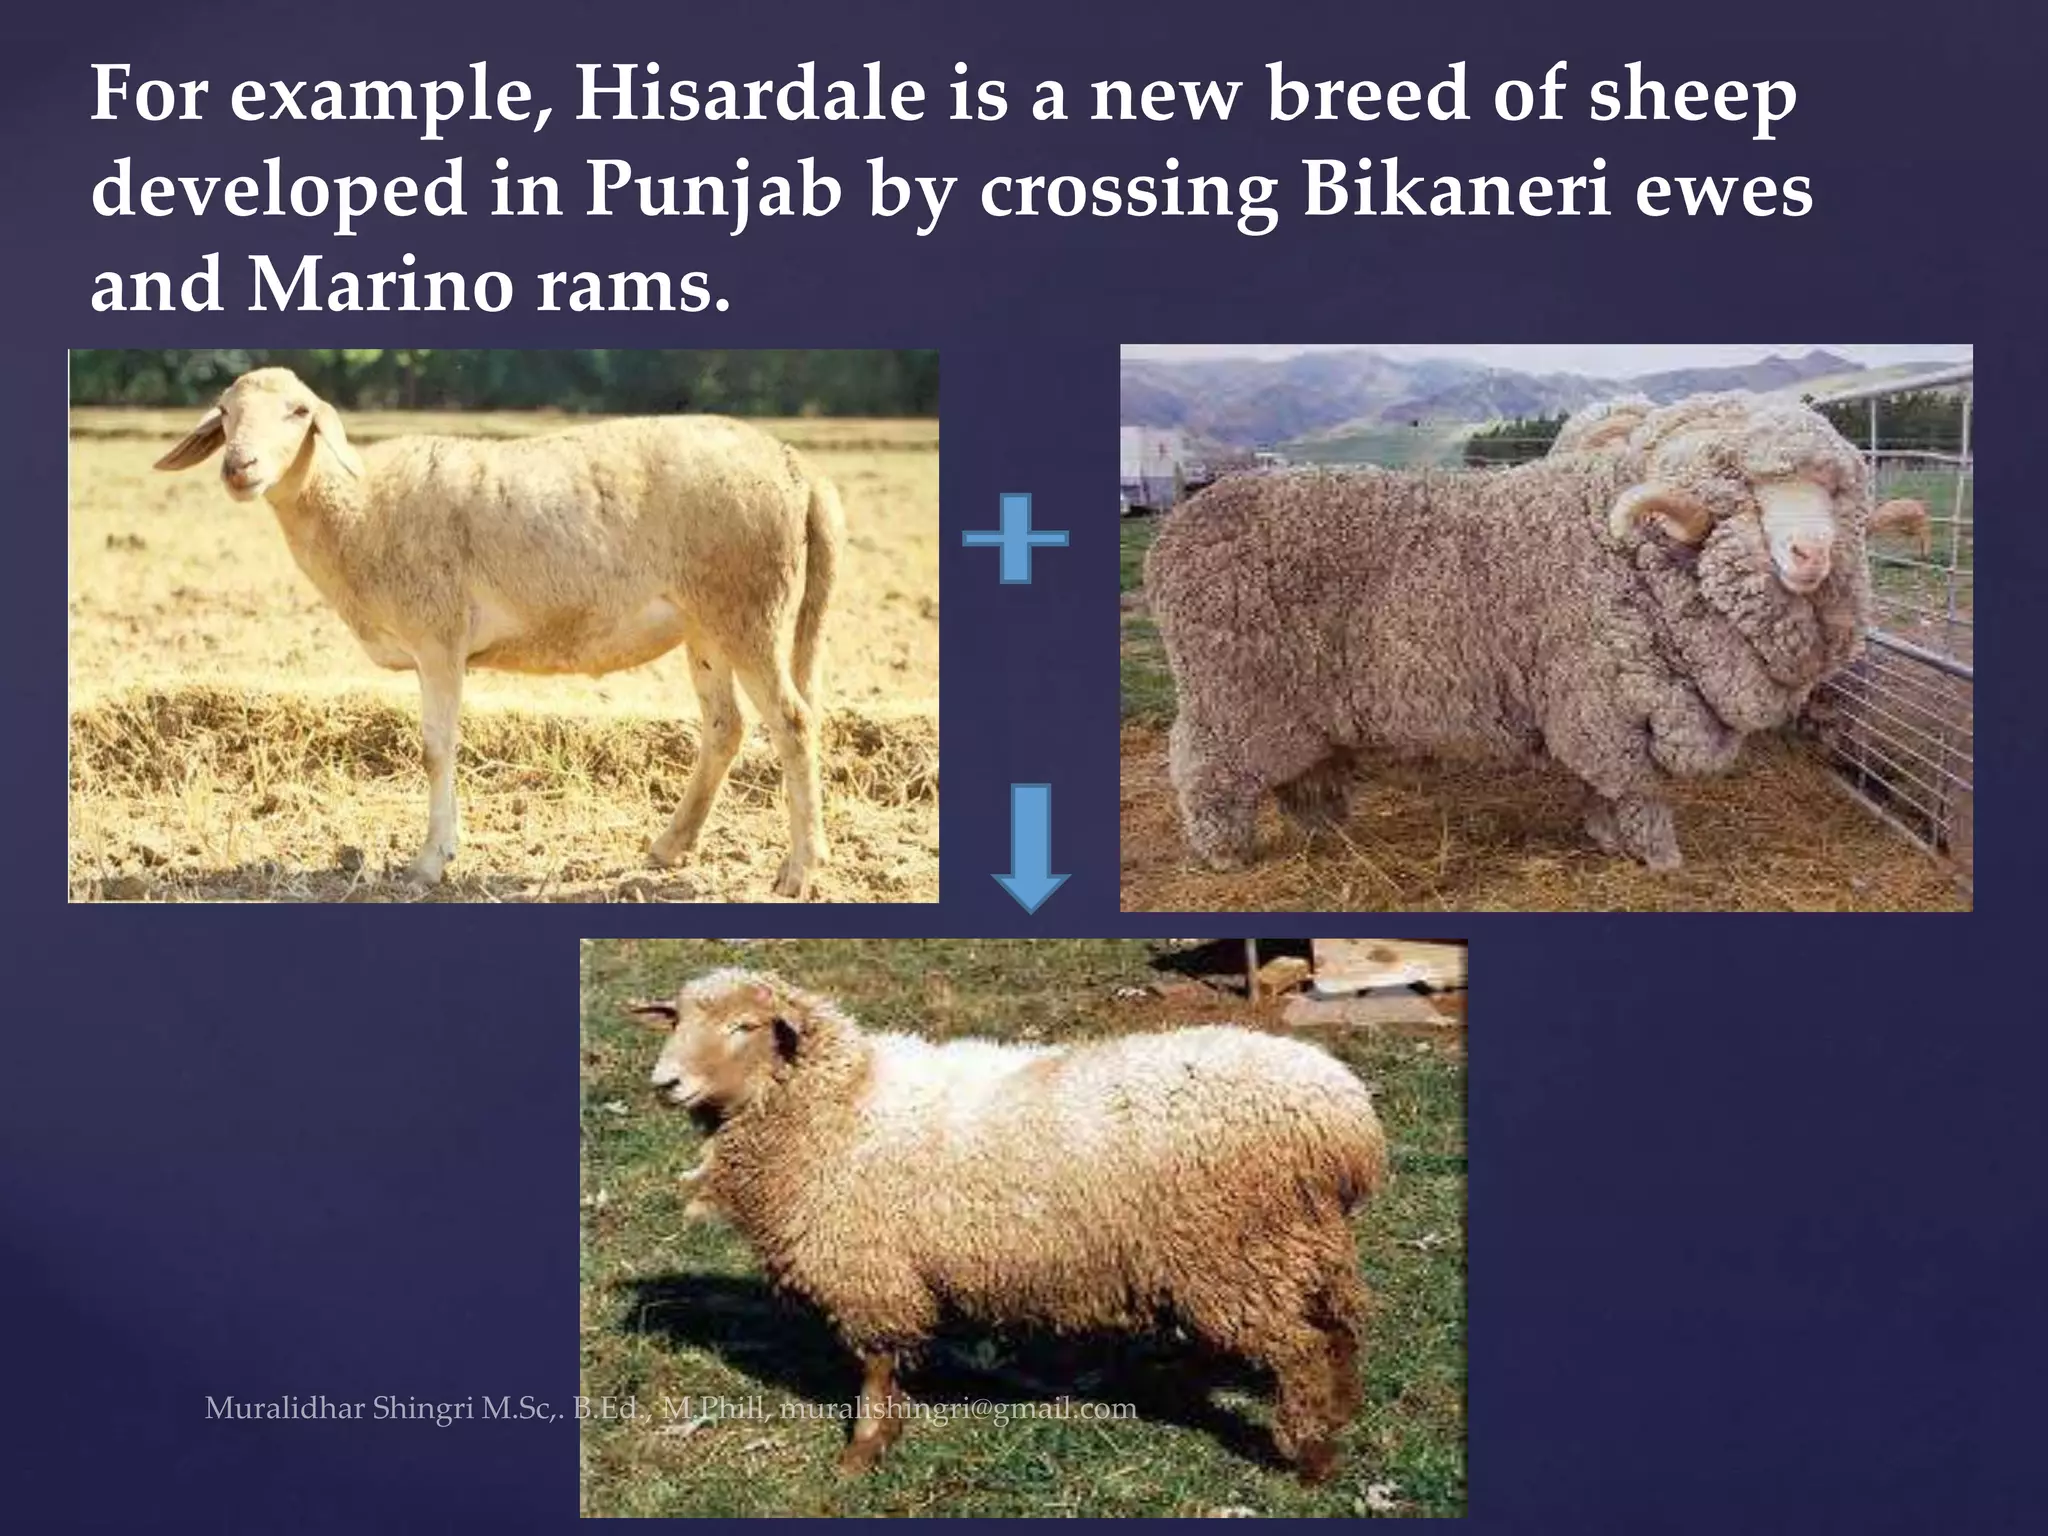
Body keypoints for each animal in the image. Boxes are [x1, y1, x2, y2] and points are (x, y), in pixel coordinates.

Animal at [154, 368, 843, 897]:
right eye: (225, 412)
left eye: (298, 412)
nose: (239, 467)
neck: (358, 505)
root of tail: (797, 469)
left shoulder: (438, 638)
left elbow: (436, 749)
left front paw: (430, 863)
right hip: (708, 621)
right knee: (726, 726)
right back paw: (670, 847)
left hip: (750, 606)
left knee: (792, 722)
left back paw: (800, 871)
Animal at [629, 967, 1387, 1482]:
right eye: (677, 1020)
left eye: (744, 1027)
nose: (665, 1083)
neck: (838, 1101)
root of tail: (1344, 1119)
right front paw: (888, 1431)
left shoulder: (870, 1270)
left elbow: (874, 1364)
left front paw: (863, 1450)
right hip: (1307, 1245)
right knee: (1342, 1326)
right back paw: (1345, 1411)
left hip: (1235, 1256)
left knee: (1301, 1351)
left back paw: (1312, 1457)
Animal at [1146, 391, 1872, 872]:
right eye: (1746, 492)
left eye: (1833, 492)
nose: (1811, 554)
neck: (1627, 548)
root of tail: (1174, 531)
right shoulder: (1601, 702)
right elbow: (1638, 792)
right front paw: (1660, 859)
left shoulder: (1595, 710)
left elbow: (1605, 790)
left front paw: (1605, 836)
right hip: (1233, 698)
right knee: (1205, 772)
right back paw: (1225, 855)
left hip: (1293, 705)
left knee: (1301, 773)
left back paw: (1323, 826)